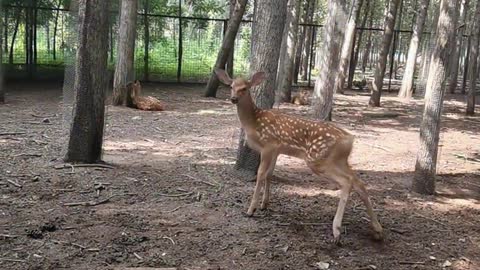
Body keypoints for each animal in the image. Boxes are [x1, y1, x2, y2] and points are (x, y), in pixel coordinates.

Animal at [216, 68, 384, 244]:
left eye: (245, 88)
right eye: (231, 86)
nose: (233, 99)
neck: (254, 122)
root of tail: (349, 139)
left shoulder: (268, 145)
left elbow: (261, 174)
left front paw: (251, 209)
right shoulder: (277, 150)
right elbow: (269, 174)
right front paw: (264, 204)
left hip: (317, 159)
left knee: (347, 182)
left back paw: (337, 231)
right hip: (339, 160)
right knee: (358, 181)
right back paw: (378, 230)